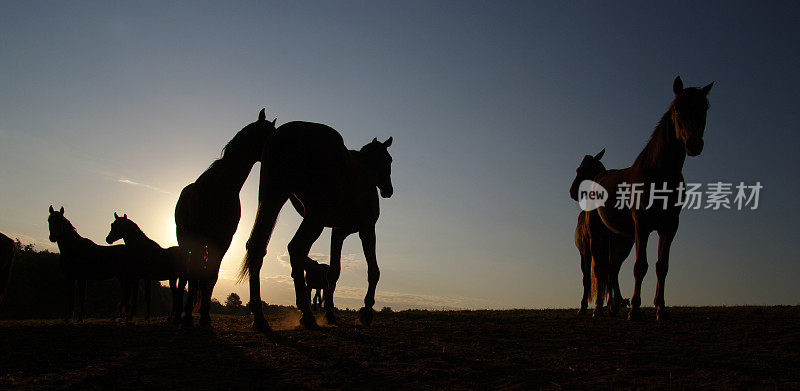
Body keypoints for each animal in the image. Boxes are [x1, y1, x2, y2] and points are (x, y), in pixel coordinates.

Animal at [174, 108, 276, 328]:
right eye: (269, 135)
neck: (220, 187)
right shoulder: (198, 237)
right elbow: (194, 275)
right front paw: (189, 317)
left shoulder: (223, 240)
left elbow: (211, 276)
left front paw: (205, 317)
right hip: (184, 238)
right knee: (186, 275)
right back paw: (179, 315)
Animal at [242, 121, 396, 332]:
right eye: (389, 160)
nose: (388, 190)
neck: (363, 173)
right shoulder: (367, 229)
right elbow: (373, 271)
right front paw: (366, 313)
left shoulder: (338, 232)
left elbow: (333, 272)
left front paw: (330, 314)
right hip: (314, 218)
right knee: (296, 248)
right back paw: (306, 316)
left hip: (272, 198)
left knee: (256, 246)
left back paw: (260, 317)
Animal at [572, 149, 636, 316]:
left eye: (579, 169)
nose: (572, 191)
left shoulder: (592, 246)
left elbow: (599, 272)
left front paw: (598, 305)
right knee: (609, 270)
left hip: (592, 250)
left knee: (603, 271)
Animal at [592, 77, 712, 322]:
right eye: (678, 109)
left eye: (704, 108)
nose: (694, 144)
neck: (659, 173)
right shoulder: (643, 225)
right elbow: (641, 266)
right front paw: (635, 310)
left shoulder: (670, 226)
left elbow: (661, 266)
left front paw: (661, 308)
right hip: (600, 233)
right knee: (601, 268)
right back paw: (598, 309)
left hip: (617, 236)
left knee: (611, 268)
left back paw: (612, 307)